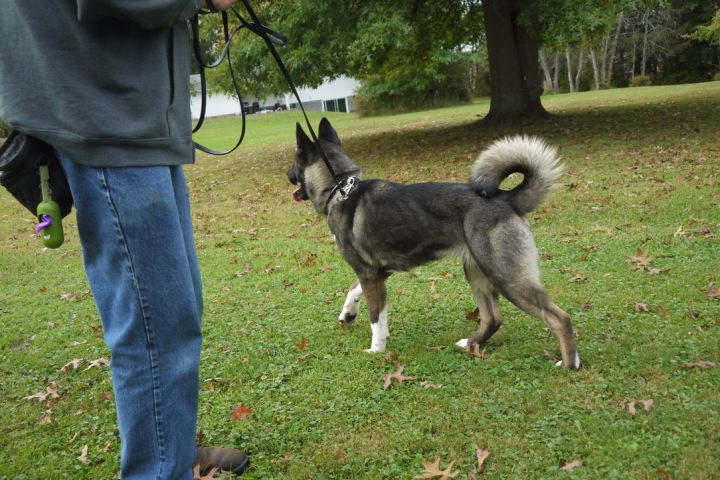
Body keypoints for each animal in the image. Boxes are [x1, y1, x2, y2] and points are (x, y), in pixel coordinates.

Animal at [286, 118, 580, 370]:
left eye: (294, 162)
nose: (287, 175)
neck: (340, 189)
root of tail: (507, 198)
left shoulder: (369, 274)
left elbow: (376, 319)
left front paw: (376, 350)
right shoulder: (378, 272)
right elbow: (354, 290)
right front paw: (348, 314)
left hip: (506, 276)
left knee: (559, 318)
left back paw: (569, 363)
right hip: (477, 273)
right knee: (493, 318)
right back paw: (471, 343)